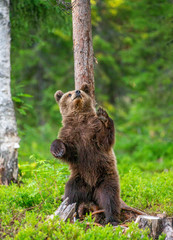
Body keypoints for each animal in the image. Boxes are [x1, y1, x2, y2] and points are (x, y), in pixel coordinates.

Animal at [50, 83, 120, 225]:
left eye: (81, 91)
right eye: (68, 94)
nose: (77, 92)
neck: (79, 119)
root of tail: (91, 190)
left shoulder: (93, 130)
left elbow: (104, 139)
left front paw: (104, 116)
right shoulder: (70, 135)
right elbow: (69, 151)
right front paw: (58, 149)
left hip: (105, 178)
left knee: (110, 198)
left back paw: (112, 219)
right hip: (78, 179)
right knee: (71, 195)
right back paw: (72, 213)